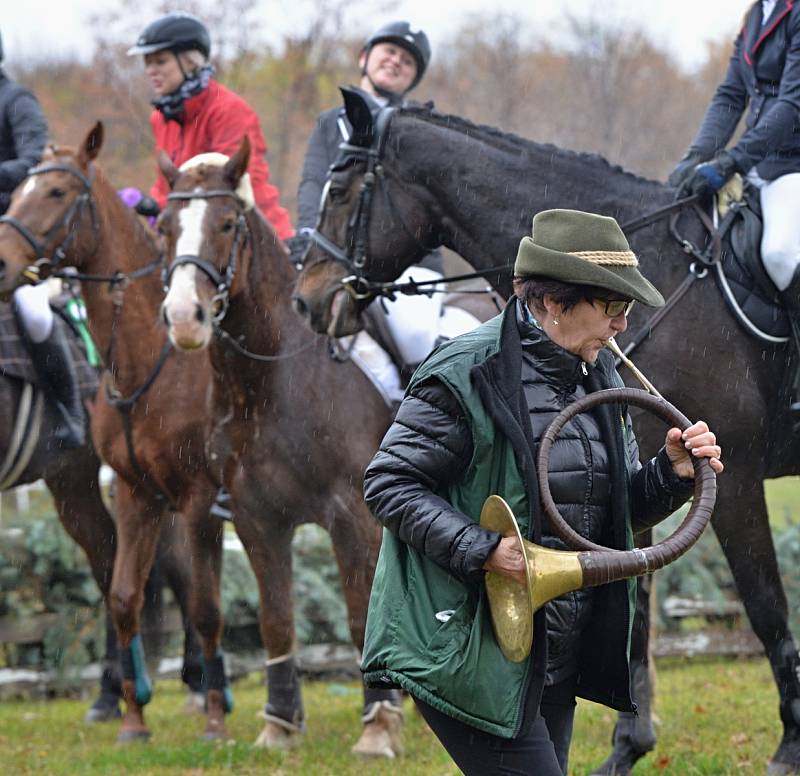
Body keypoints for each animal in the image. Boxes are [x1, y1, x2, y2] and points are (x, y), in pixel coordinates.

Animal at [0, 124, 231, 744]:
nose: (1, 263)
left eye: (57, 192)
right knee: (120, 572)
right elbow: (128, 588)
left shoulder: (196, 491)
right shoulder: (141, 487)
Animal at [157, 141, 406, 756]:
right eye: (165, 228)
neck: (272, 382)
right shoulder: (257, 518)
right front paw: (279, 722)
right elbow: (276, 621)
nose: (184, 318)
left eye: (226, 223)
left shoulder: (351, 515)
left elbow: (359, 617)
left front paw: (377, 725)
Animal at [290, 94, 800, 772]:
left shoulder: (738, 477)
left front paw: (790, 744)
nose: (307, 300)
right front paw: (628, 748)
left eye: (342, 188)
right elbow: (634, 602)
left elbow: (767, 606)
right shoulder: (640, 471)